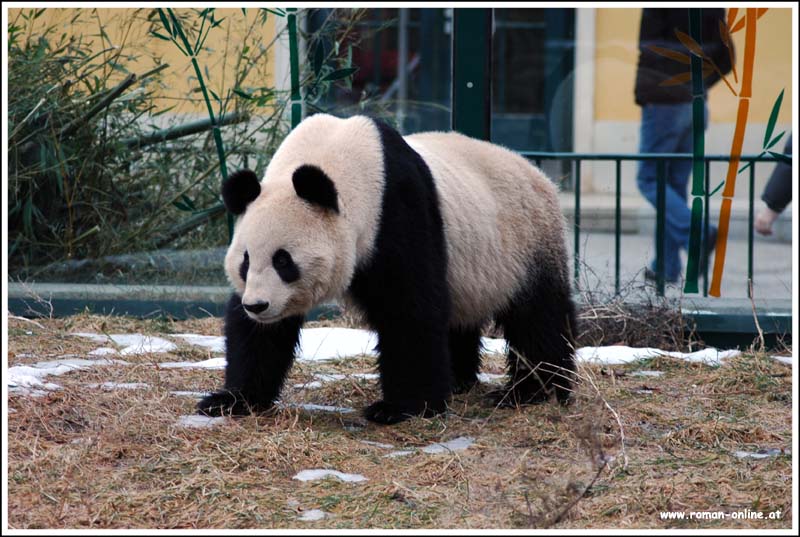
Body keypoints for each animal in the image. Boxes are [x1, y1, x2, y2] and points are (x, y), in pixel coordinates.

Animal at [198, 113, 576, 422]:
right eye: (245, 261)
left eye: (283, 260)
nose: (258, 305)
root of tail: (539, 173)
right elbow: (259, 335)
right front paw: (232, 400)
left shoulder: (395, 212)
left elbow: (410, 307)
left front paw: (400, 408)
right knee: (459, 316)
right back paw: (458, 380)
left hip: (528, 242)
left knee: (537, 318)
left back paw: (534, 390)